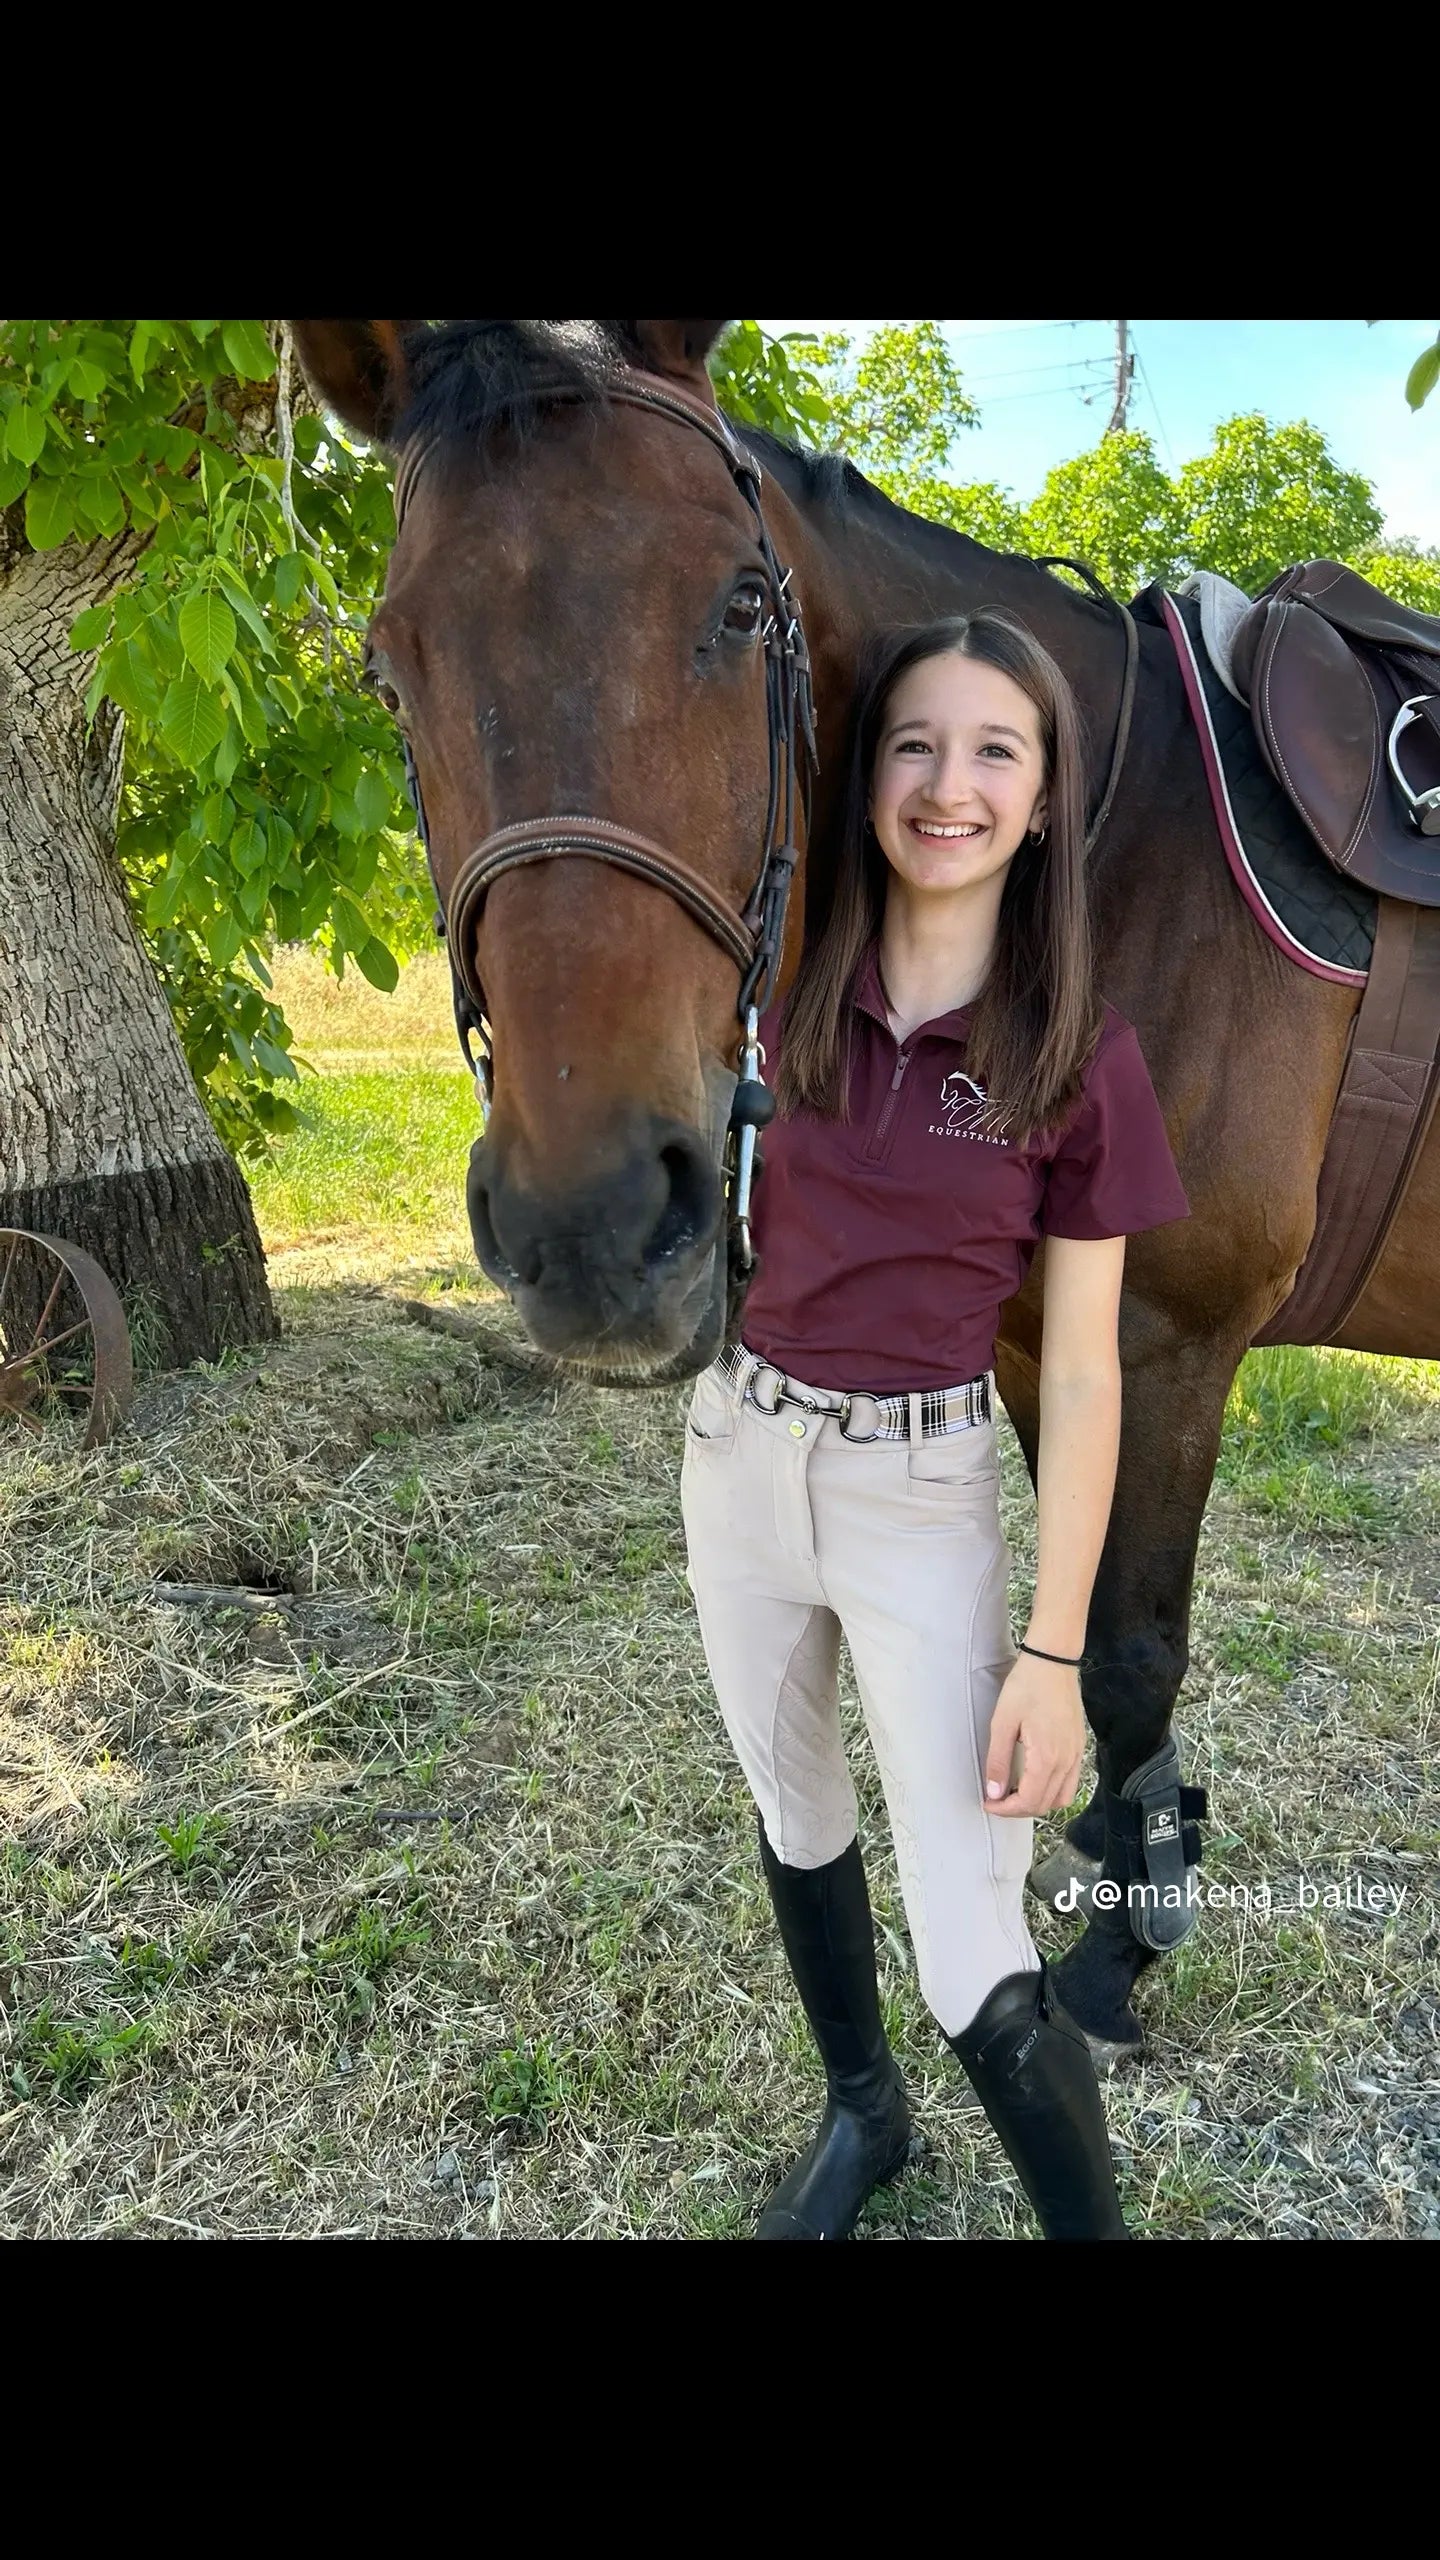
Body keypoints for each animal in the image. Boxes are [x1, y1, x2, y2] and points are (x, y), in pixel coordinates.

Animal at [285, 325, 1424, 2058]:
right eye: (387, 663)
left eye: (743, 608)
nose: (594, 1231)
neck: (1103, 863)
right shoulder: (1042, 1340)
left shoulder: (1170, 1345)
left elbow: (1128, 1655)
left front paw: (1123, 1942)